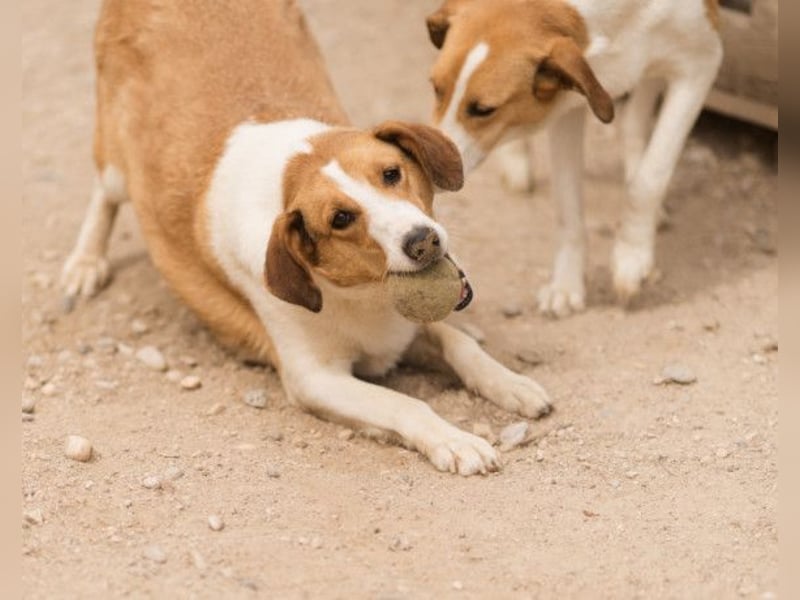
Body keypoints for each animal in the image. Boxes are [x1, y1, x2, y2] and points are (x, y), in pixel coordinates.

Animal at [61, 1, 552, 478]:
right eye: (340, 218)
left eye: (392, 173)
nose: (422, 241)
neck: (365, 293)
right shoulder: (316, 380)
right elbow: (406, 404)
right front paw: (454, 440)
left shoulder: (407, 328)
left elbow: (461, 345)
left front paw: (511, 383)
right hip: (117, 162)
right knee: (104, 195)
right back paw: (85, 263)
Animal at [428, 0, 720, 316]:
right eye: (436, 88)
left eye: (483, 110)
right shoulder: (566, 103)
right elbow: (567, 206)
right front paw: (566, 285)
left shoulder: (700, 64)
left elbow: (649, 179)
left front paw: (631, 256)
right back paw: (517, 159)